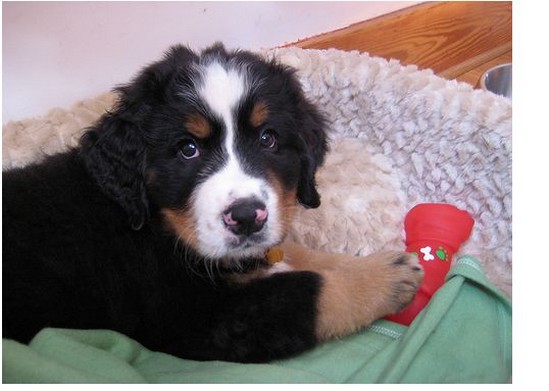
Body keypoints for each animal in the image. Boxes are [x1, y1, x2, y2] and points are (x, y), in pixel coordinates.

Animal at [2, 43, 424, 364]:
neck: (156, 226)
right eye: (187, 149)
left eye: (268, 139)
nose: (247, 218)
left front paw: (369, 263)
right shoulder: (197, 319)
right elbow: (307, 289)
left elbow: (297, 253)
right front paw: (381, 279)